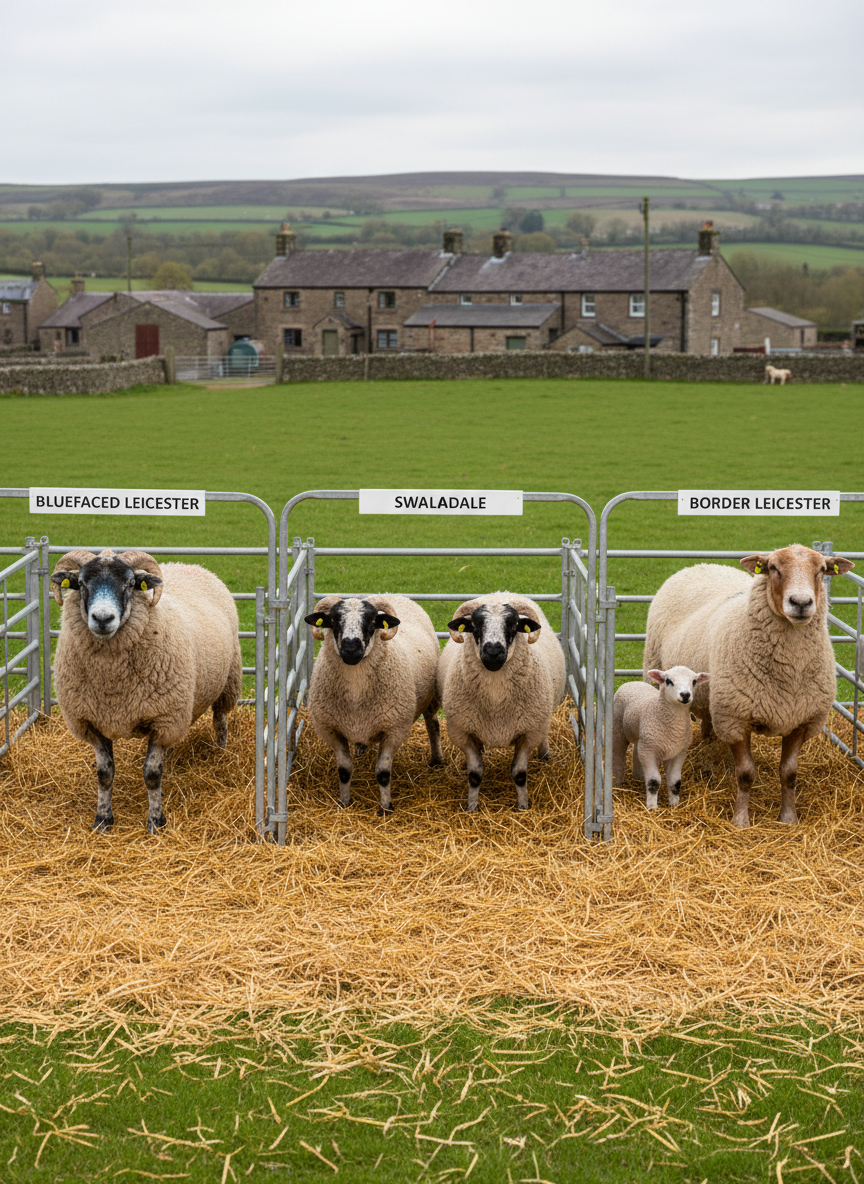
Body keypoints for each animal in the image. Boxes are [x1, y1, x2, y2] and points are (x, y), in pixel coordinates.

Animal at [50, 549, 242, 833]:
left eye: (130, 583)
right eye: (82, 583)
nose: (103, 619)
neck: (112, 682)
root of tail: (189, 564)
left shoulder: (165, 721)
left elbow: (152, 775)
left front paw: (155, 822)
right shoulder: (90, 722)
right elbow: (104, 775)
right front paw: (102, 819)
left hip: (228, 682)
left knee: (220, 720)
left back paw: (221, 752)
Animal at [303, 594, 442, 814]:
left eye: (371, 623)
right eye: (334, 621)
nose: (351, 648)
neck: (356, 692)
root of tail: (392, 594)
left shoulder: (394, 730)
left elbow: (383, 773)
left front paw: (386, 808)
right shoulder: (331, 730)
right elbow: (344, 771)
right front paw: (344, 803)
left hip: (430, 696)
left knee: (433, 725)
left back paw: (436, 760)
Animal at [437, 593, 566, 811]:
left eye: (513, 626)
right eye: (476, 626)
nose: (493, 652)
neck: (496, 699)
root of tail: (499, 593)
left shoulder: (530, 732)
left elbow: (519, 774)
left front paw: (523, 807)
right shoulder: (461, 732)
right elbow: (475, 774)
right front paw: (472, 808)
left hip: (542, 718)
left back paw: (544, 754)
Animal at [612, 666, 709, 809]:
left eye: (694, 681)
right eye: (668, 681)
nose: (685, 695)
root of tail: (633, 682)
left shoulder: (679, 752)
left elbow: (675, 781)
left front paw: (674, 804)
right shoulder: (649, 752)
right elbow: (654, 781)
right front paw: (652, 807)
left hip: (642, 738)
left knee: (636, 752)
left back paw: (639, 777)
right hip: (619, 728)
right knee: (618, 753)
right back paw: (617, 780)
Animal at [642, 545, 854, 828]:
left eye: (821, 570)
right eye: (773, 568)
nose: (801, 603)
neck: (790, 671)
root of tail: (702, 564)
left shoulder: (802, 720)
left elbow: (789, 773)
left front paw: (788, 818)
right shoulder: (735, 719)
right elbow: (745, 774)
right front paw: (741, 820)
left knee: (708, 719)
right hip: (654, 670)